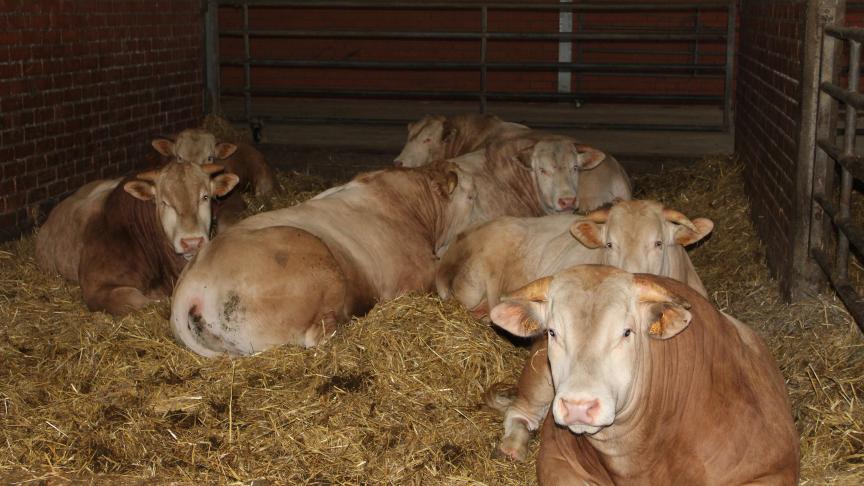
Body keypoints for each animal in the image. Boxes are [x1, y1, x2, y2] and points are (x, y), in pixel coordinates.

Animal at [490, 266, 800, 486]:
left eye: (627, 332)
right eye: (553, 331)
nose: (579, 406)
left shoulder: (773, 472)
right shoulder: (556, 459)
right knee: (521, 413)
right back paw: (513, 446)